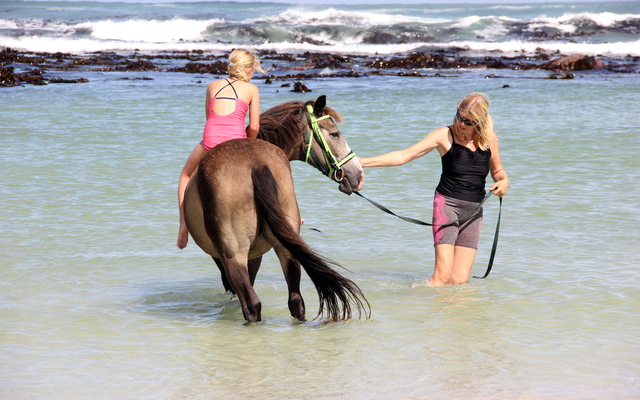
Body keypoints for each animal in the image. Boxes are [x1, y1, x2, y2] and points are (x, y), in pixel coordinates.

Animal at [183, 95, 370, 322]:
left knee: (252, 305)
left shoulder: (238, 257)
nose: (358, 174)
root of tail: (256, 164)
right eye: (335, 134)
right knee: (296, 301)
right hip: (286, 250)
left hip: (234, 256)